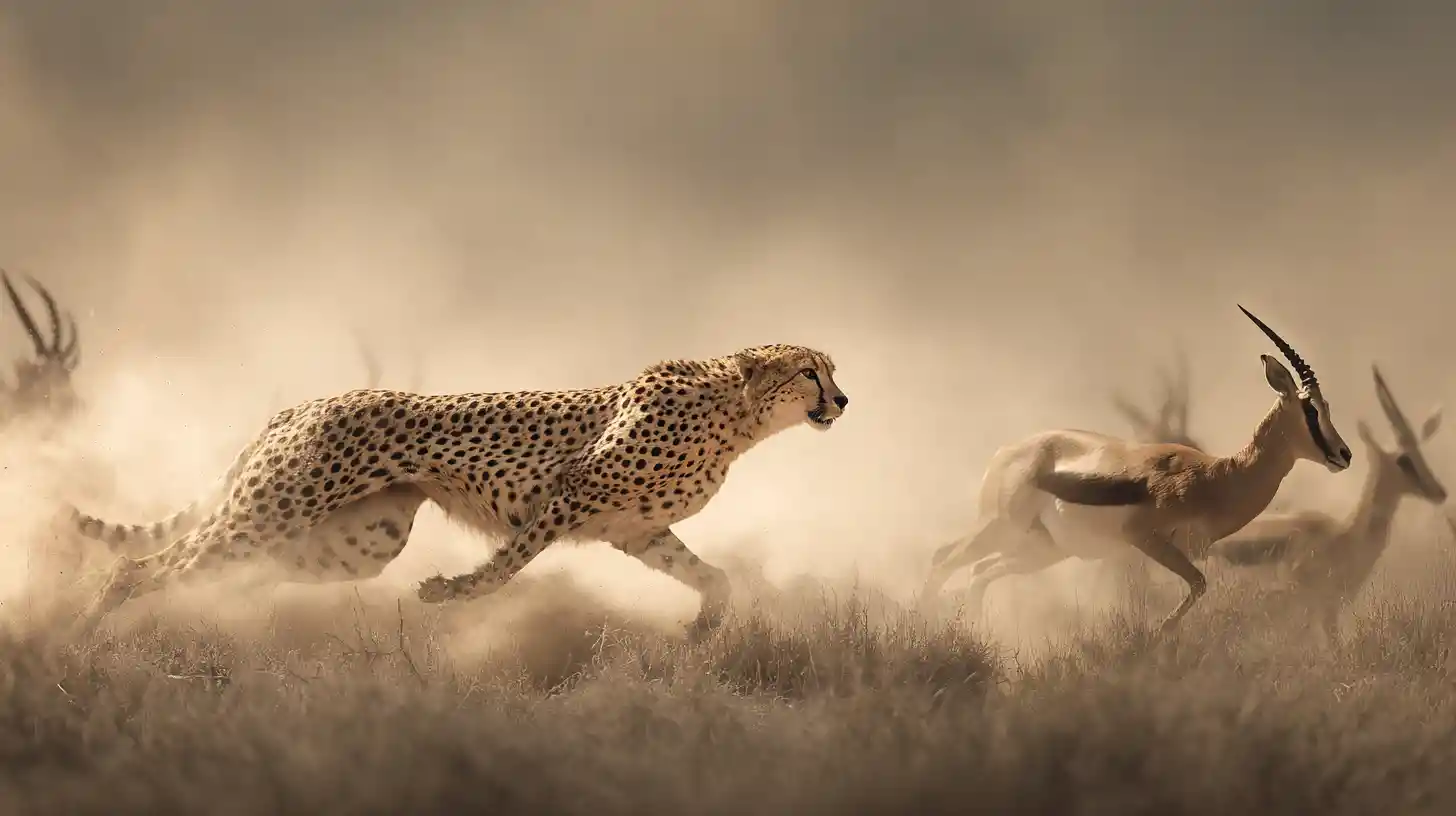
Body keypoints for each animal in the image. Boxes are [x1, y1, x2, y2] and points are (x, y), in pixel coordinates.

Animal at [64, 343, 848, 635]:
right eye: (809, 371)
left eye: (830, 371)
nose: (842, 400)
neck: (738, 418)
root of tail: (300, 405)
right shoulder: (567, 493)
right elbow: (508, 565)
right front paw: (451, 592)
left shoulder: (635, 531)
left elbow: (711, 573)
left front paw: (708, 623)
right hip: (273, 510)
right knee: (141, 564)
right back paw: (78, 636)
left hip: (354, 544)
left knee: (207, 569)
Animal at [921, 306, 1352, 635]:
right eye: (1310, 410)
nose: (1344, 454)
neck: (1219, 477)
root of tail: (1006, 452)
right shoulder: (1143, 538)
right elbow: (1197, 584)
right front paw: (1154, 638)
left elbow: (1194, 586)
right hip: (1001, 528)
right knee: (943, 559)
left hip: (1042, 549)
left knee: (979, 571)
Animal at [1207, 364, 1452, 640]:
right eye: (1403, 460)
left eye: (1420, 452)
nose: (1439, 491)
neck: (1345, 536)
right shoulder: (1315, 610)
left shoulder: (1328, 611)